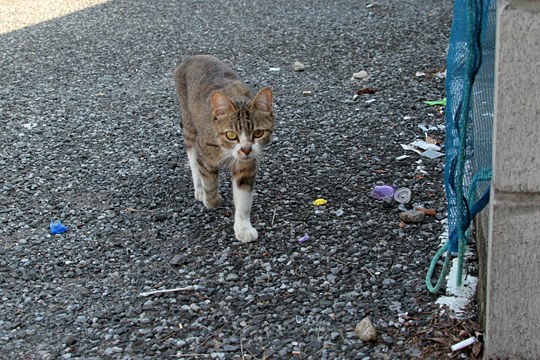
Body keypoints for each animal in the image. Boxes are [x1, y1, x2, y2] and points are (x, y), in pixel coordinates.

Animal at [174, 55, 276, 242]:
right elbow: (208, 179)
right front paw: (211, 200)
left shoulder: (246, 165)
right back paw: (199, 189)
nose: (246, 149)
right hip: (189, 121)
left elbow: (243, 198)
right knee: (192, 158)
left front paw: (243, 227)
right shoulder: (204, 150)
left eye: (258, 133)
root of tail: (194, 56)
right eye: (231, 135)